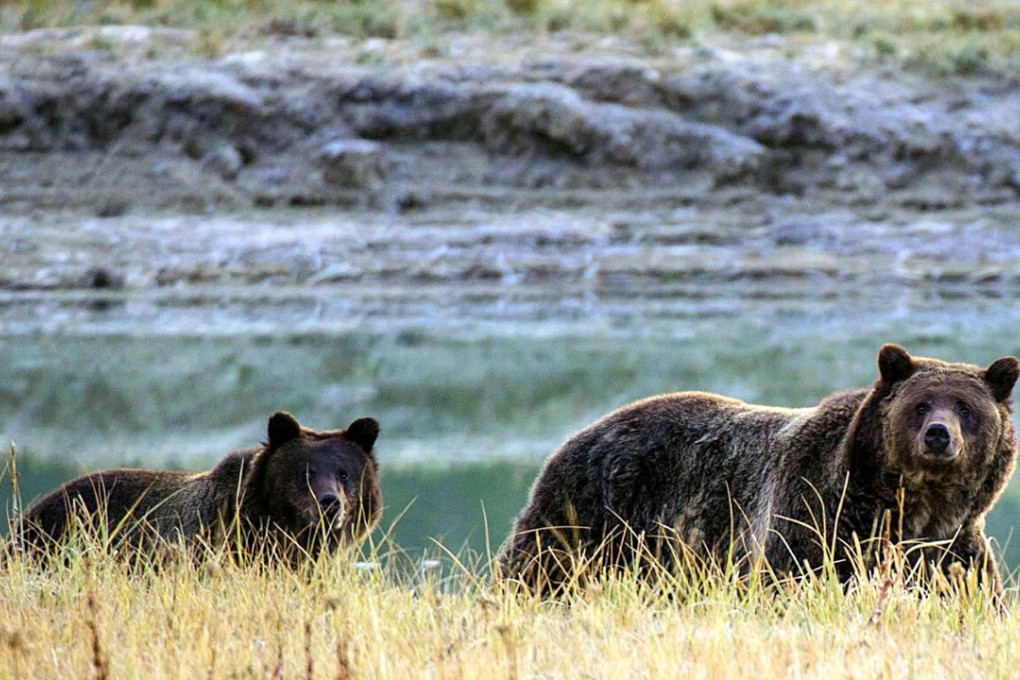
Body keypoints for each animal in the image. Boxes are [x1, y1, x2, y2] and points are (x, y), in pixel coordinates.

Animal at [498, 344, 1019, 596]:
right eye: (921, 403)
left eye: (965, 407)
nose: (939, 435)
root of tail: (578, 433)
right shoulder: (814, 519)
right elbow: (792, 581)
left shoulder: (949, 548)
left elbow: (965, 593)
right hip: (590, 512)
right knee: (537, 568)